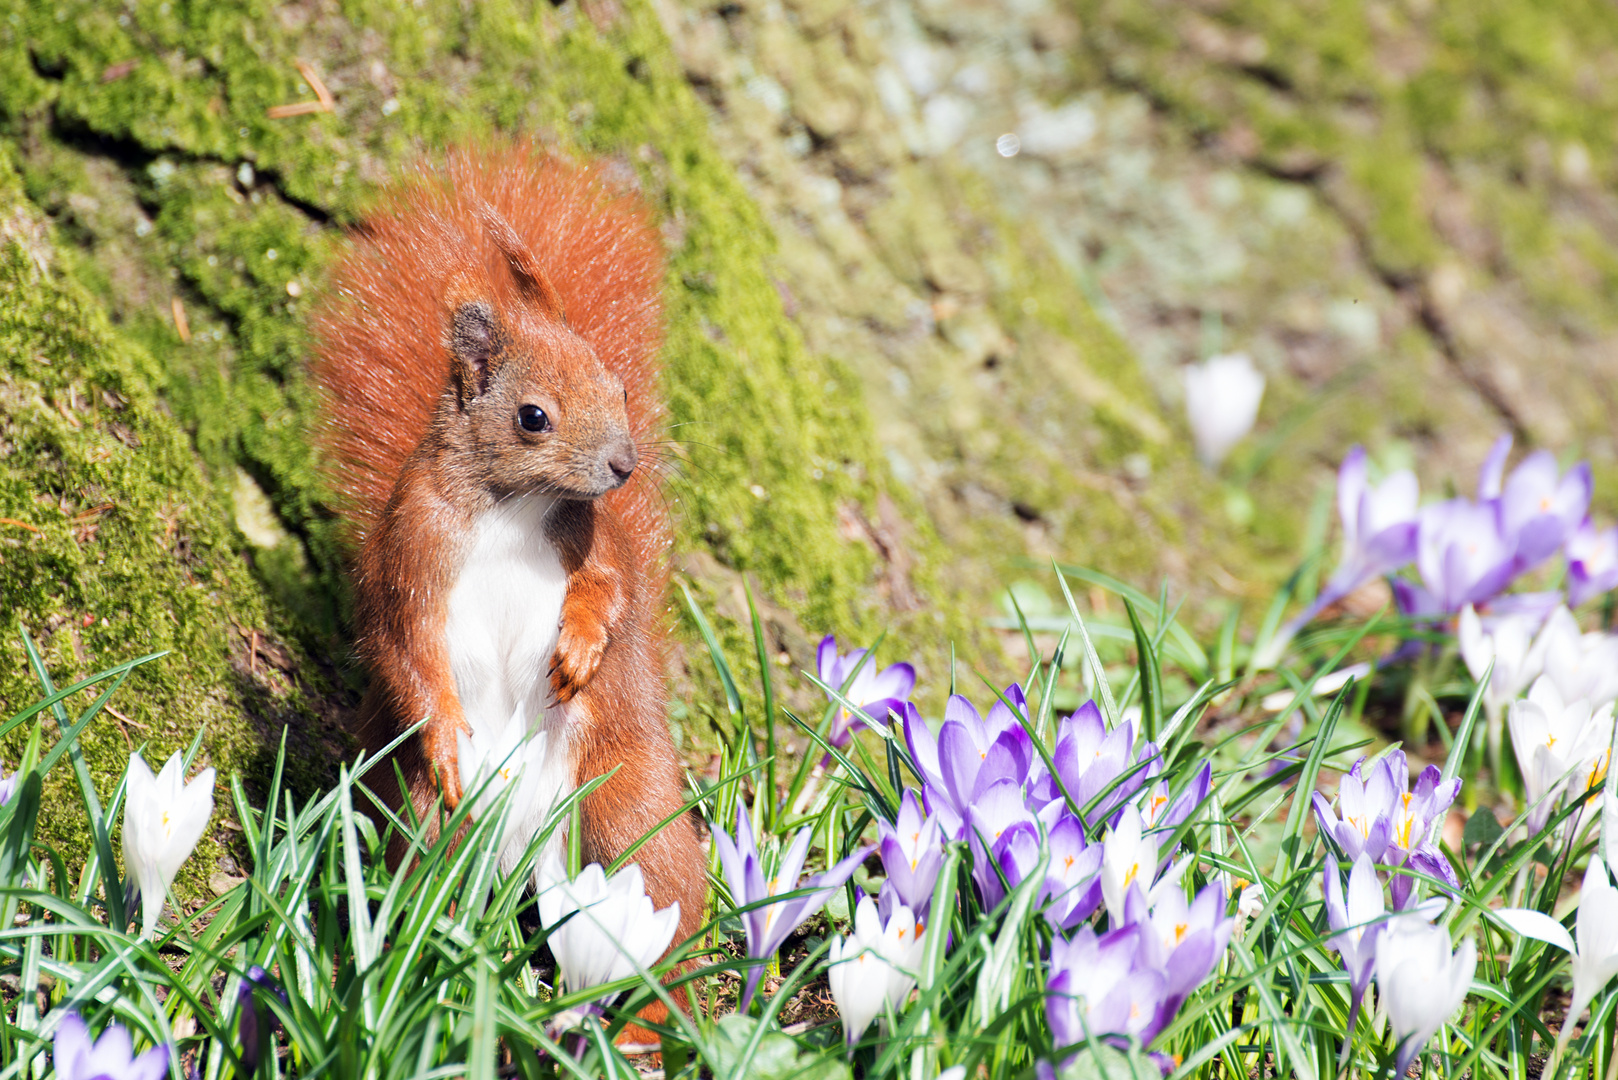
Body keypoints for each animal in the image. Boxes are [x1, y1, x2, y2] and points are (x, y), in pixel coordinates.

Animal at [305, 143, 705, 965]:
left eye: (619, 386)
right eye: (533, 418)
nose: (624, 465)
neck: (512, 511)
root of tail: (522, 845)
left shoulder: (594, 541)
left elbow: (611, 591)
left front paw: (579, 649)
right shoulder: (411, 547)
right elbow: (403, 648)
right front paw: (441, 734)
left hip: (626, 804)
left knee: (664, 903)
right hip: (426, 816)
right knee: (427, 867)